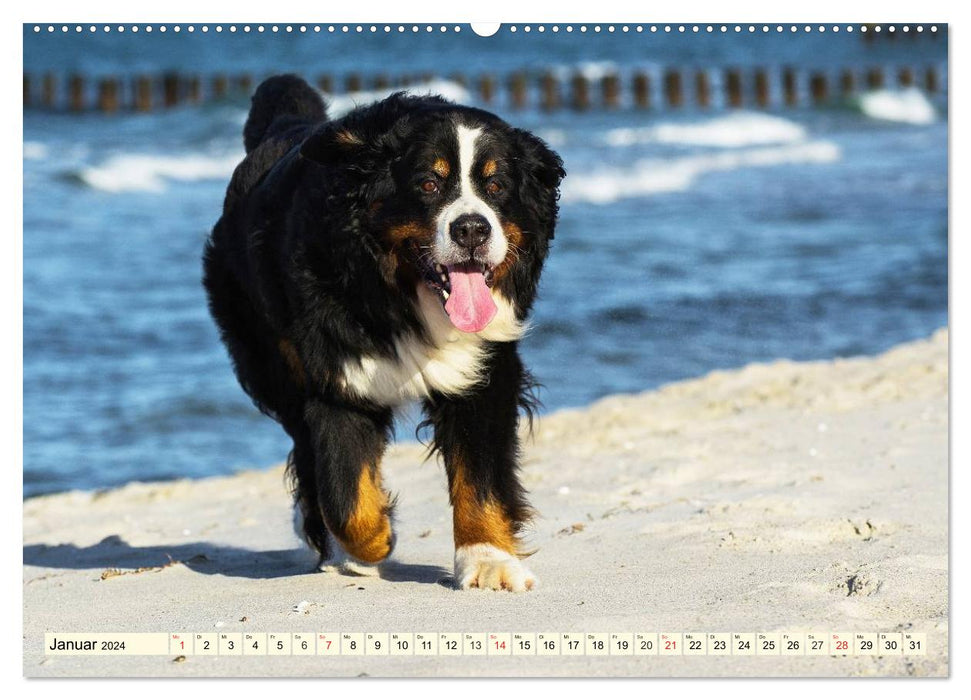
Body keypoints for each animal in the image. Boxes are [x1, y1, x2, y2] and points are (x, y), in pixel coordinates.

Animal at [206, 75, 568, 592]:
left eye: (496, 185)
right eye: (429, 184)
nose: (472, 229)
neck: (403, 296)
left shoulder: (483, 371)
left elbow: (479, 474)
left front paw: (487, 559)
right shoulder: (338, 378)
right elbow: (346, 498)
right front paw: (376, 540)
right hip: (272, 365)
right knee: (308, 458)